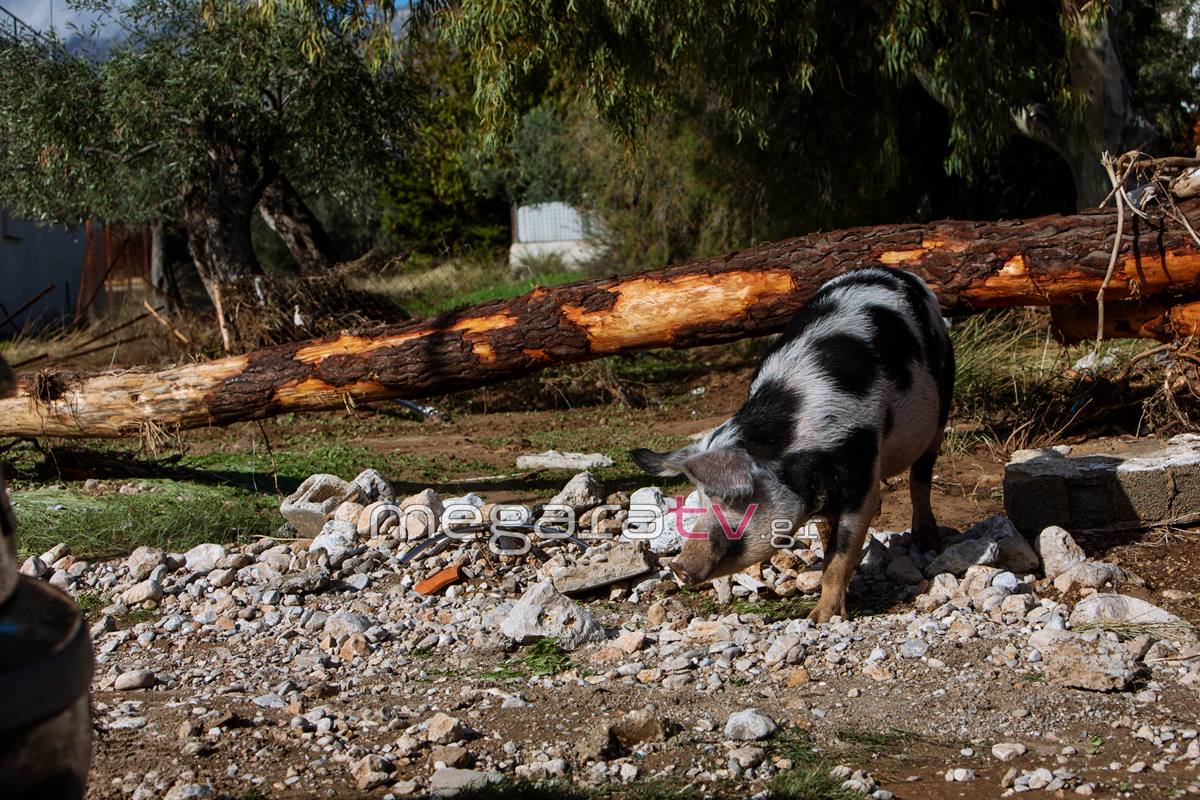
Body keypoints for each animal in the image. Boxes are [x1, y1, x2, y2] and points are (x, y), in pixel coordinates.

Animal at [628, 268, 955, 623]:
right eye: (700, 497)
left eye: (731, 499)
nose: (678, 567)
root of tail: (897, 272)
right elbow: (828, 542)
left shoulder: (863, 471)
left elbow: (841, 552)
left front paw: (819, 619)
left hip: (942, 398)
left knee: (921, 477)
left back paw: (929, 542)